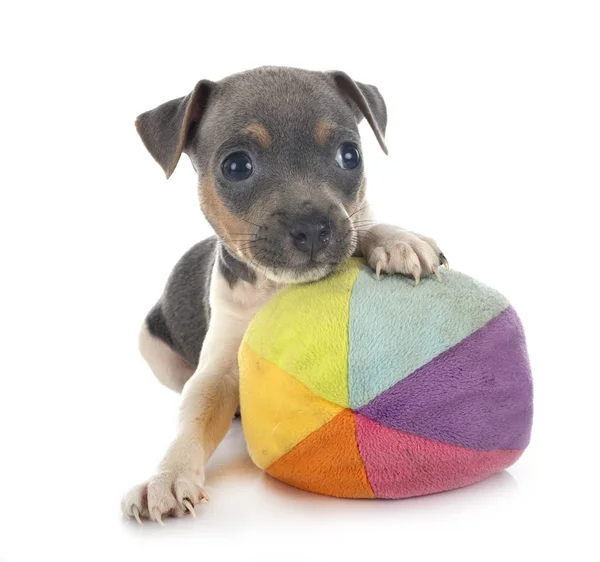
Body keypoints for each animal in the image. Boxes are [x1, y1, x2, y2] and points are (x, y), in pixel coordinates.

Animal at [122, 68, 446, 524]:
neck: (276, 286)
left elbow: (361, 225)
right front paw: (167, 476)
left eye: (350, 156)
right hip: (152, 346)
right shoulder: (216, 370)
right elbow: (196, 415)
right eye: (237, 166)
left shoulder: (350, 223)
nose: (312, 228)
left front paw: (398, 240)